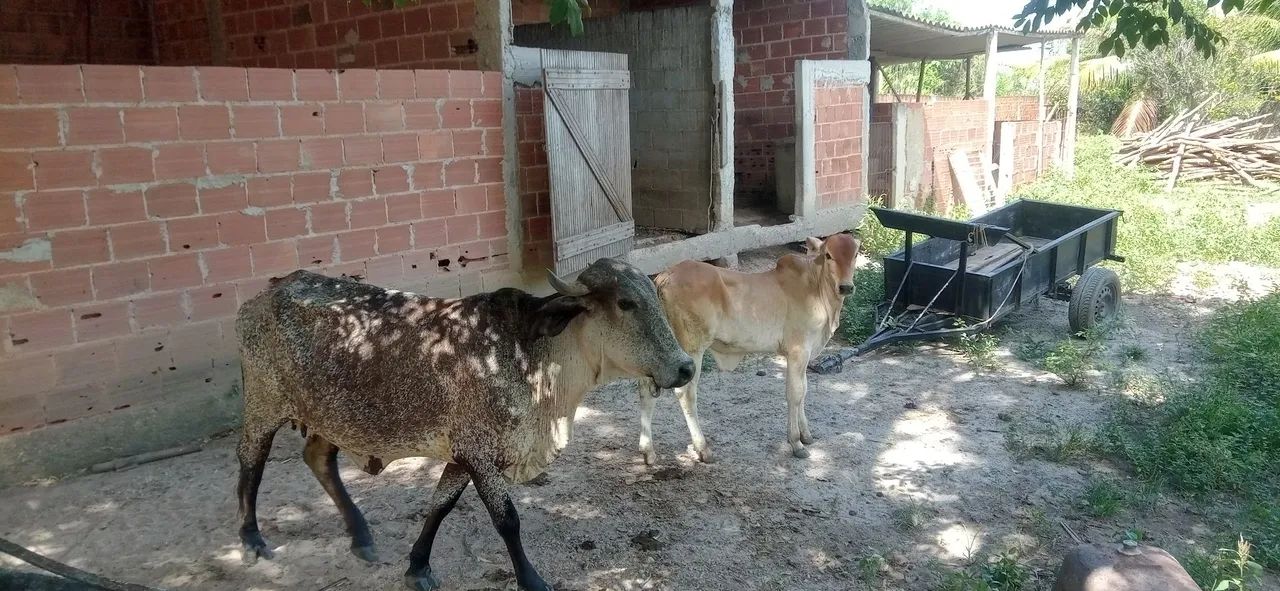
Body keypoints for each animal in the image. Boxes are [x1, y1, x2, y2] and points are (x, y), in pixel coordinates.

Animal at [234, 258, 695, 591]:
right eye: (626, 304)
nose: (686, 367)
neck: (533, 355)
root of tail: (261, 296)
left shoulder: (462, 454)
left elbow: (440, 506)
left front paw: (418, 567)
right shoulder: (478, 452)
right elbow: (507, 520)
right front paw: (532, 581)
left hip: (331, 418)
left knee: (317, 459)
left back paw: (361, 536)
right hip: (263, 404)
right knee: (251, 461)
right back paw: (251, 538)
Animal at [637, 233, 860, 463]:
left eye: (855, 254)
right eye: (828, 255)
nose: (846, 287)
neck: (816, 289)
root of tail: (665, 276)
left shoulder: (804, 356)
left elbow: (804, 391)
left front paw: (806, 435)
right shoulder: (798, 352)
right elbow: (795, 394)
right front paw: (796, 443)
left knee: (646, 388)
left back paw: (648, 450)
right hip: (692, 348)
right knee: (685, 393)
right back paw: (702, 448)